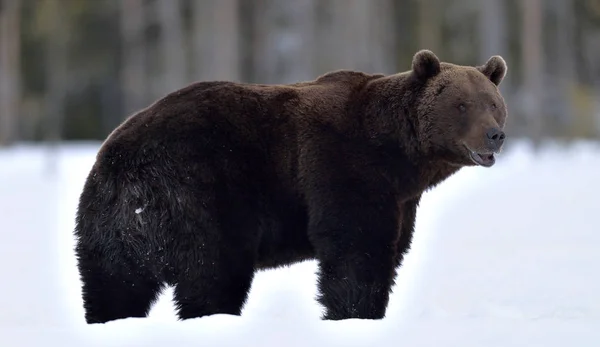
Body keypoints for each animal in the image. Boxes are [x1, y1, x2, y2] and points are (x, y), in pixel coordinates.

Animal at [74, 49, 506, 324]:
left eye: (493, 103)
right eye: (462, 105)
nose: (495, 135)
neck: (400, 157)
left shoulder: (401, 200)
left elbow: (389, 246)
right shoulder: (343, 167)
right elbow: (356, 250)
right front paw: (355, 313)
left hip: (108, 221)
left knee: (114, 283)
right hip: (202, 192)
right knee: (212, 271)